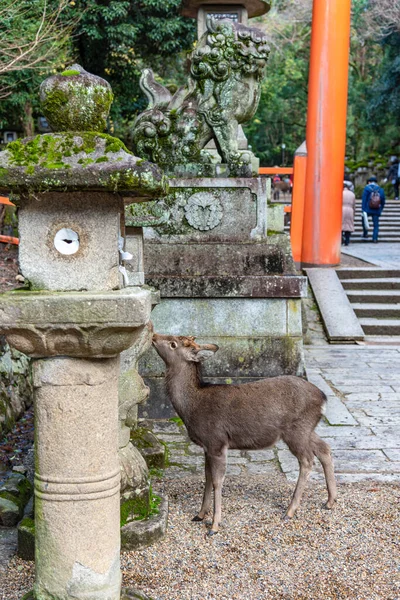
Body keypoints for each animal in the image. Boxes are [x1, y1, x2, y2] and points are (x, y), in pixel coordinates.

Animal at [152, 332, 336, 536]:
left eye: (173, 344)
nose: (154, 335)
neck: (191, 409)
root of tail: (323, 398)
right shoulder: (206, 446)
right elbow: (206, 478)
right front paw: (199, 515)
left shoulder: (216, 441)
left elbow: (217, 481)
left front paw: (214, 526)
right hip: (307, 430)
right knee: (324, 448)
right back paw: (330, 501)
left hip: (297, 430)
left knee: (307, 460)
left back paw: (290, 511)